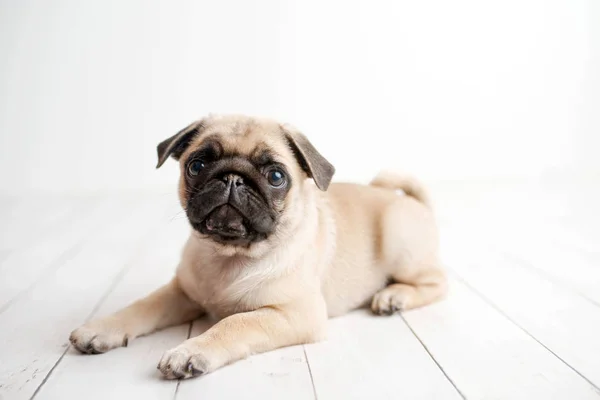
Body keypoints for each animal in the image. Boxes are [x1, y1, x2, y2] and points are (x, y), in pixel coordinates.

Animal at [69, 113, 446, 378]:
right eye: (197, 165)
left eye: (276, 177)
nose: (232, 177)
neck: (229, 256)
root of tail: (411, 201)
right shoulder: (181, 293)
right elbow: (142, 306)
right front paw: (100, 329)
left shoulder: (296, 313)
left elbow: (235, 323)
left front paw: (191, 351)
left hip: (399, 240)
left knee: (437, 283)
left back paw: (393, 296)